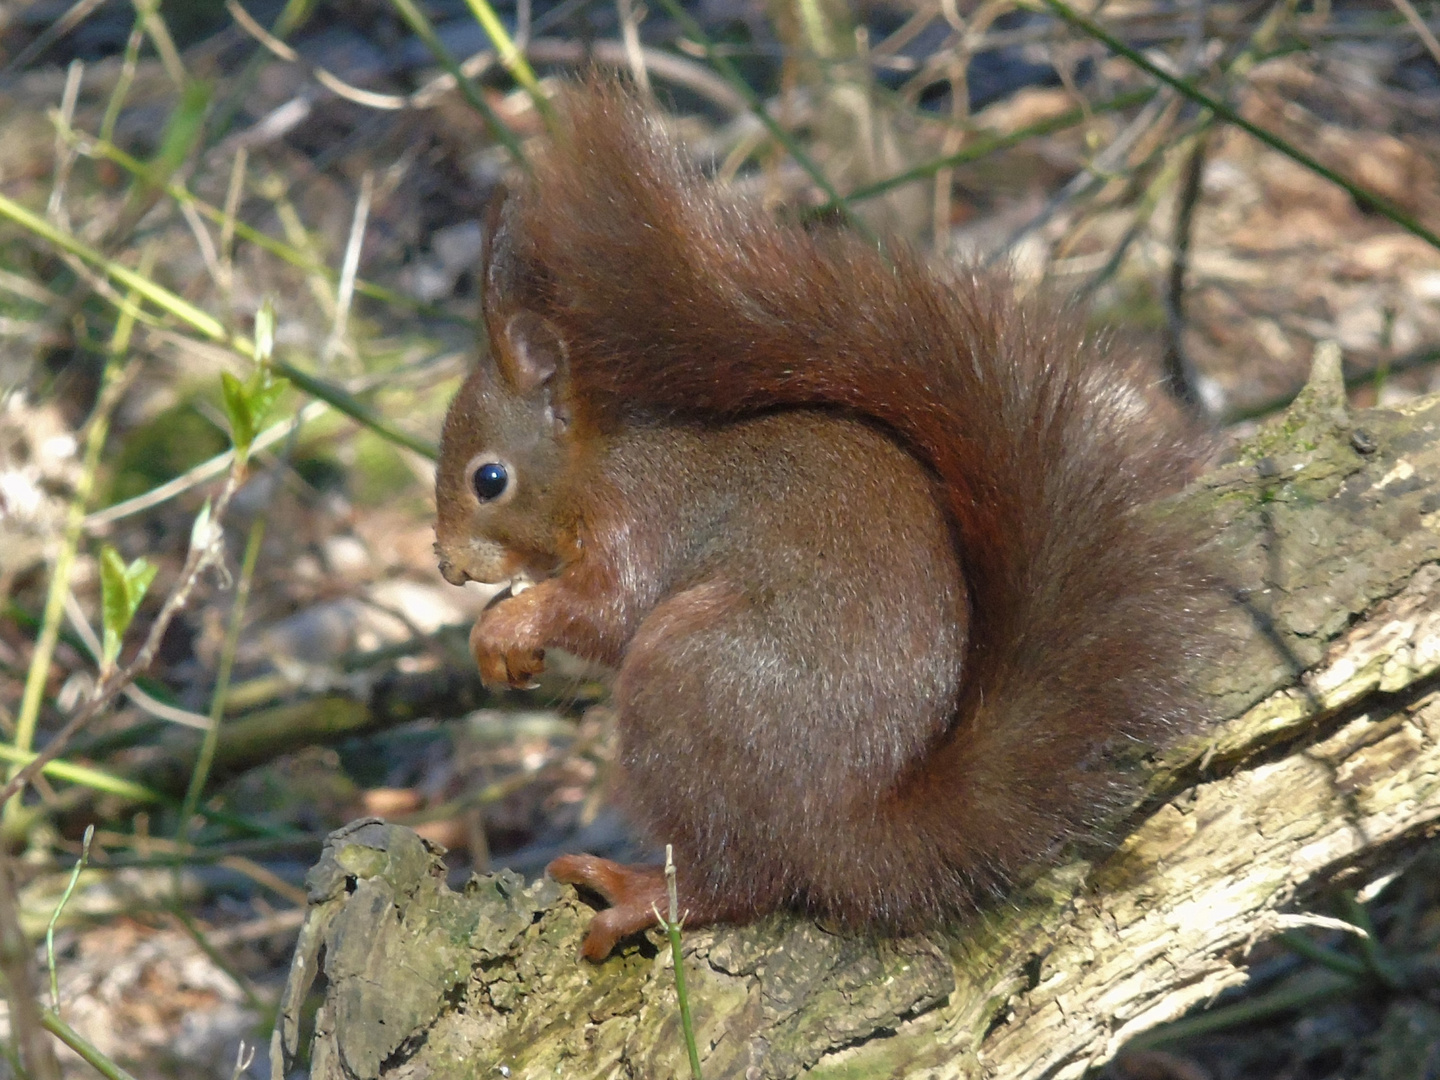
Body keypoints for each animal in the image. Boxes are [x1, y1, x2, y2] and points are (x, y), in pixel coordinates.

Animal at [429, 82, 1215, 961]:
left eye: (489, 479)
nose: (448, 566)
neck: (595, 466)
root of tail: (845, 830)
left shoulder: (641, 521)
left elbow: (607, 610)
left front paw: (506, 623)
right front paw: (505, 632)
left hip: (688, 679)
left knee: (737, 879)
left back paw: (640, 894)